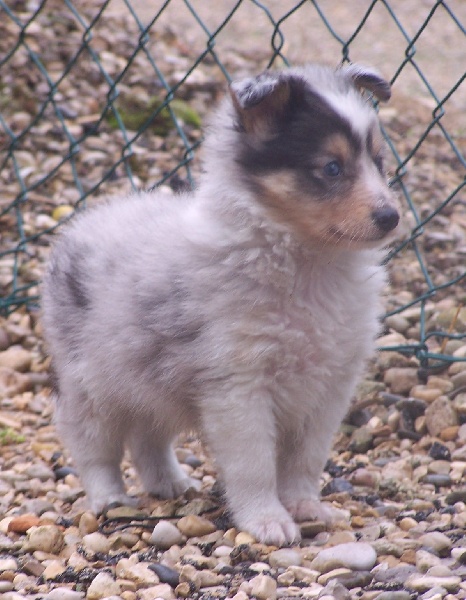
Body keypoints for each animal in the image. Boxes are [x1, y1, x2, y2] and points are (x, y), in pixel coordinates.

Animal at [41, 63, 396, 548]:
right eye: (331, 167)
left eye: (378, 162)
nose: (391, 218)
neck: (308, 267)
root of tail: (87, 220)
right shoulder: (238, 388)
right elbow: (255, 466)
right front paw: (267, 520)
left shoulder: (330, 386)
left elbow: (305, 460)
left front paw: (305, 507)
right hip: (90, 384)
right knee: (92, 445)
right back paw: (109, 498)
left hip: (151, 379)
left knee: (148, 438)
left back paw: (170, 483)